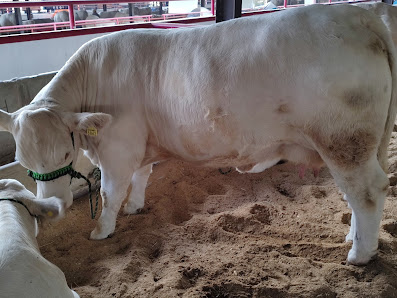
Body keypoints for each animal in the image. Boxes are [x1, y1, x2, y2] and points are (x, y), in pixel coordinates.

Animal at [0, 4, 396, 266]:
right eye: (22, 162)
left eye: (66, 155)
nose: (55, 206)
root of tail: (361, 14)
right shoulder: (139, 144)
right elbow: (141, 177)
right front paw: (135, 206)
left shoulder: (117, 148)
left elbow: (109, 193)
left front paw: (102, 231)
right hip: (364, 143)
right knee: (357, 195)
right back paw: (354, 237)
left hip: (344, 139)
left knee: (367, 193)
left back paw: (360, 254)